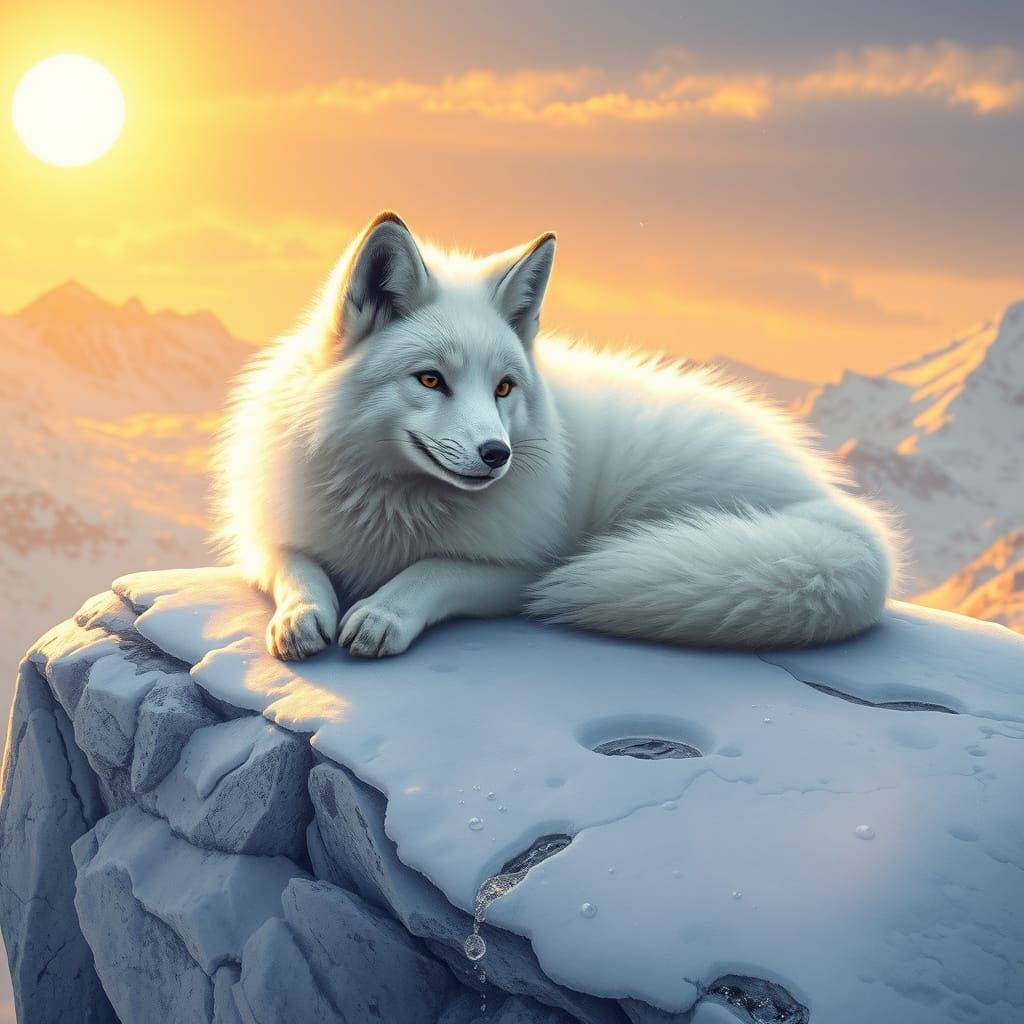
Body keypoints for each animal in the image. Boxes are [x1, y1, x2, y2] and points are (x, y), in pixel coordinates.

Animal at [211, 211, 901, 661]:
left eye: (504, 388)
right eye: (430, 379)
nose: (498, 455)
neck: (391, 506)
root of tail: (834, 505)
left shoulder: (522, 571)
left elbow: (435, 569)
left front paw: (383, 611)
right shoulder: (269, 535)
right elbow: (295, 568)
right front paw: (302, 615)